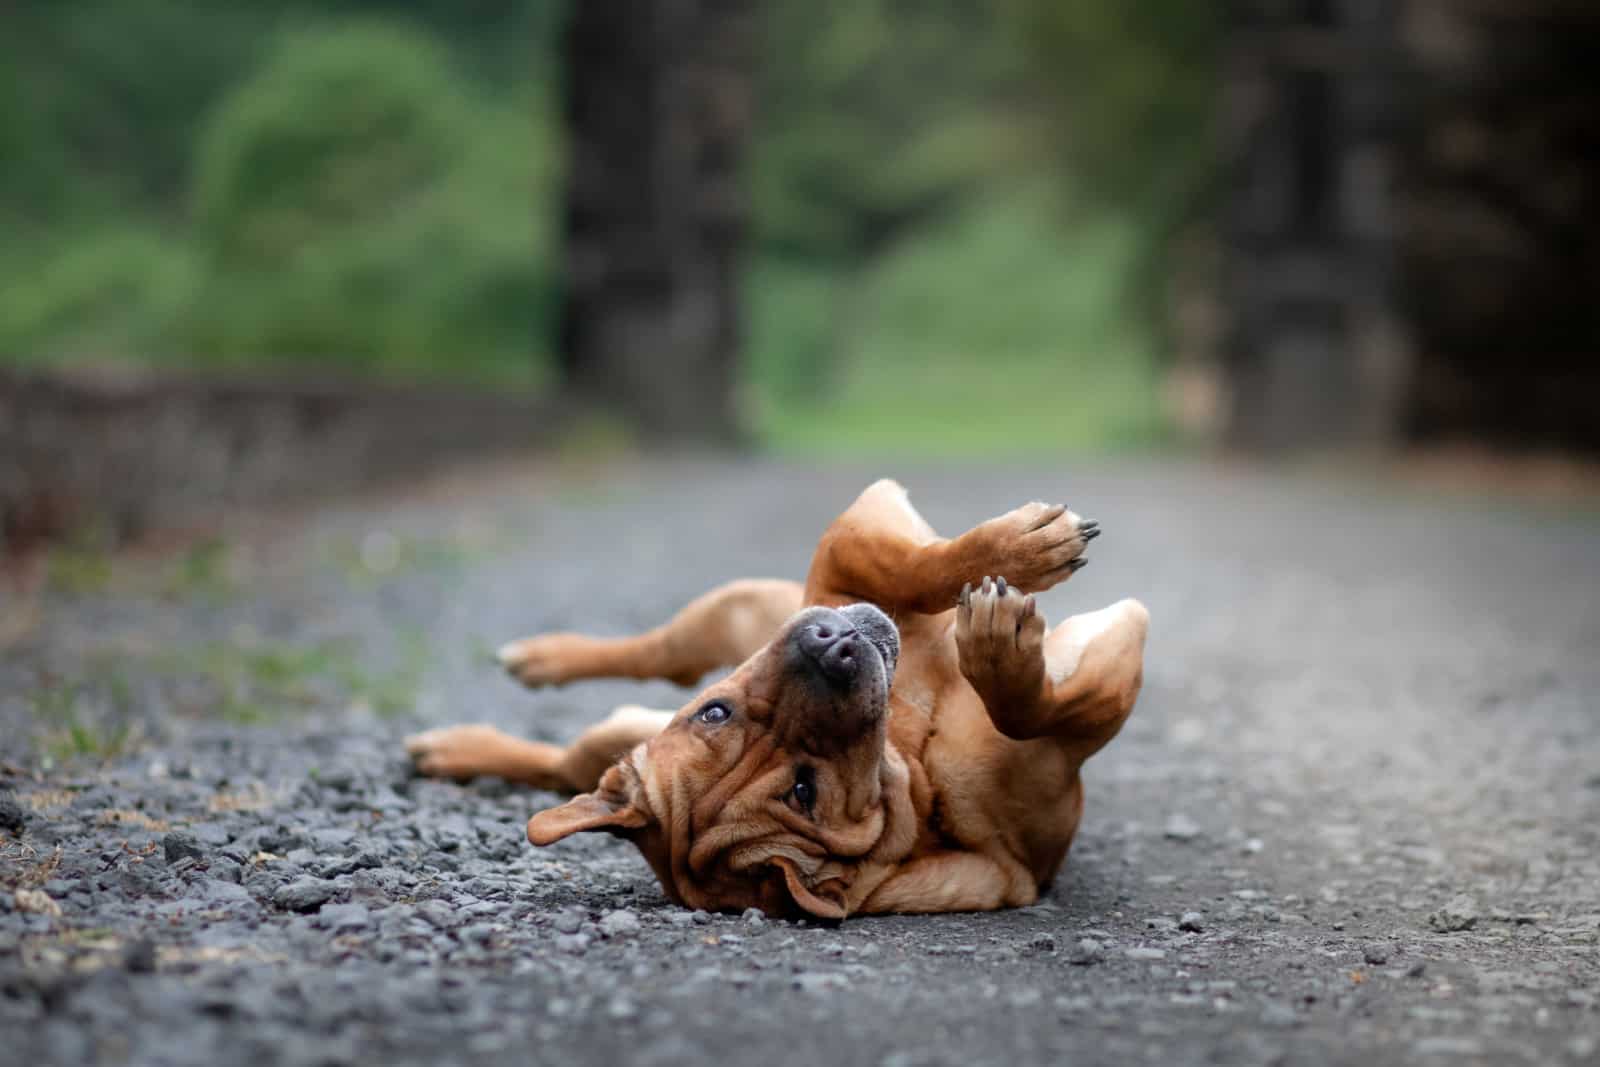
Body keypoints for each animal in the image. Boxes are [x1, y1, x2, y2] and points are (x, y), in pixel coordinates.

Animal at [406, 479, 1145, 915]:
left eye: (716, 711)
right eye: (802, 790)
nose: (827, 647)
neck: (918, 772)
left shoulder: (855, 540)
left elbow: (917, 564)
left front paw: (1017, 556)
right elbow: (1037, 706)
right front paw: (1003, 644)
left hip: (728, 617)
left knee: (653, 654)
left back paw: (534, 663)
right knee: (566, 754)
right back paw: (454, 746)